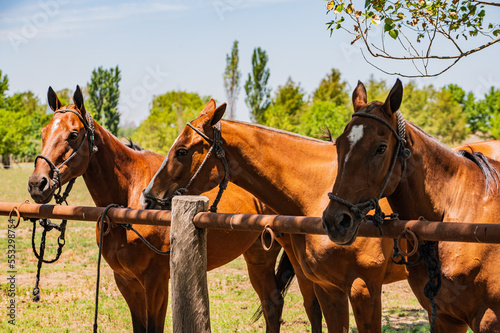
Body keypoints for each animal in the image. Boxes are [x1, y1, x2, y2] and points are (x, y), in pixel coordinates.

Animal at [28, 86, 300, 332]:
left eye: (74, 134)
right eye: (42, 132)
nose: (37, 183)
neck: (128, 204)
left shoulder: (156, 283)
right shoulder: (126, 281)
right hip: (257, 256)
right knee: (272, 305)